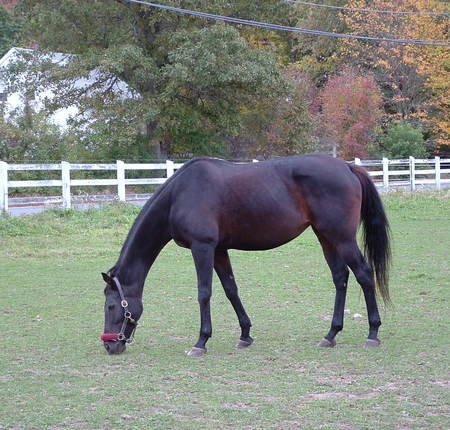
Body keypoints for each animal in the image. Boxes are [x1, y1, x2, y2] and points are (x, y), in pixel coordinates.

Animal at [101, 155, 390, 356]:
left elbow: (204, 293)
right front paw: (245, 335)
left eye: (112, 305)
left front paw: (201, 341)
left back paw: (373, 332)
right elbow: (231, 290)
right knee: (340, 278)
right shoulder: (219, 250)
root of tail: (347, 167)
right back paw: (331, 334)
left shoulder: (202, 247)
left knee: (364, 274)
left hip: (342, 238)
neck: (180, 194)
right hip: (326, 237)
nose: (110, 346)